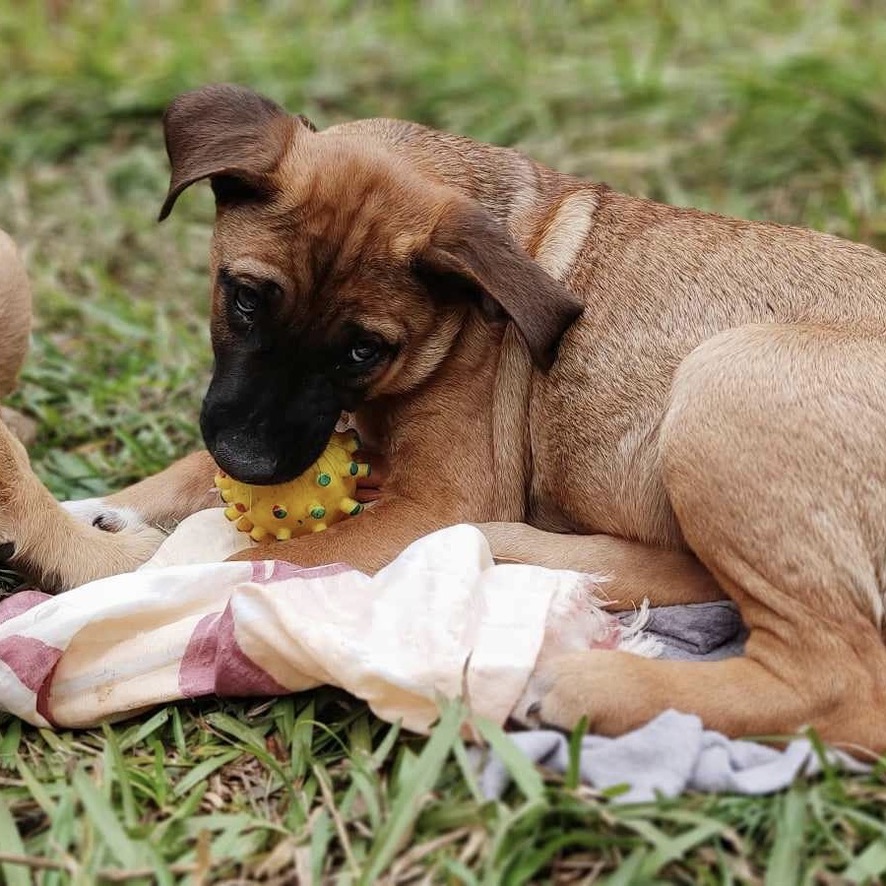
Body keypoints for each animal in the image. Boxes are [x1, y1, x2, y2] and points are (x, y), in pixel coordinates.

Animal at [55, 83, 886, 752]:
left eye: (362, 349)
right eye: (246, 298)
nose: (252, 465)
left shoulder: (438, 496)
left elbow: (252, 564)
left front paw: (114, 599)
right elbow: (193, 469)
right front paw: (102, 516)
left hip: (729, 377)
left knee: (840, 683)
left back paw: (594, 684)